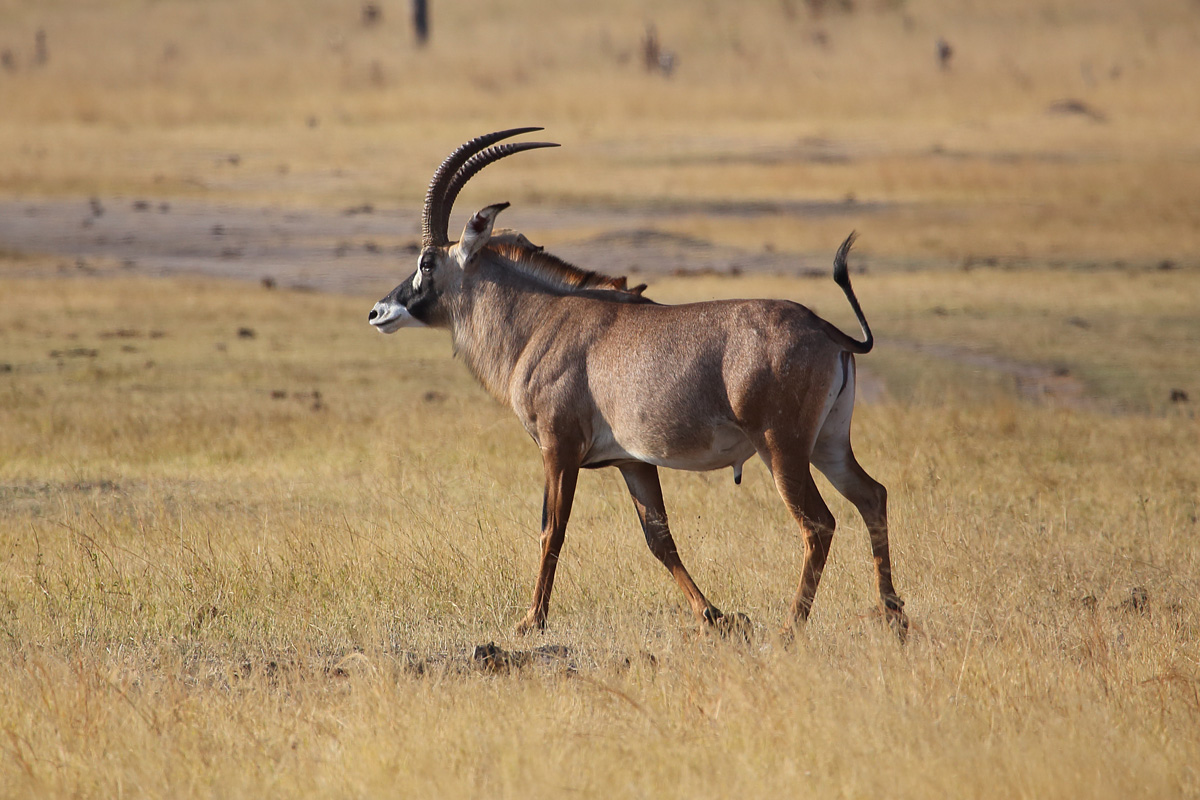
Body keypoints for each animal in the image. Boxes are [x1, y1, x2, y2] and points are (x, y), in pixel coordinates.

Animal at [369, 128, 907, 638]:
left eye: (426, 262)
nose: (378, 312)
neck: (541, 320)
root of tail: (828, 330)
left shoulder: (559, 448)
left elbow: (551, 530)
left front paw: (531, 621)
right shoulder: (633, 462)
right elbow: (659, 539)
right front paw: (714, 616)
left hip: (782, 449)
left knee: (819, 524)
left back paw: (792, 626)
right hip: (828, 444)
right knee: (872, 496)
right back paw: (893, 617)